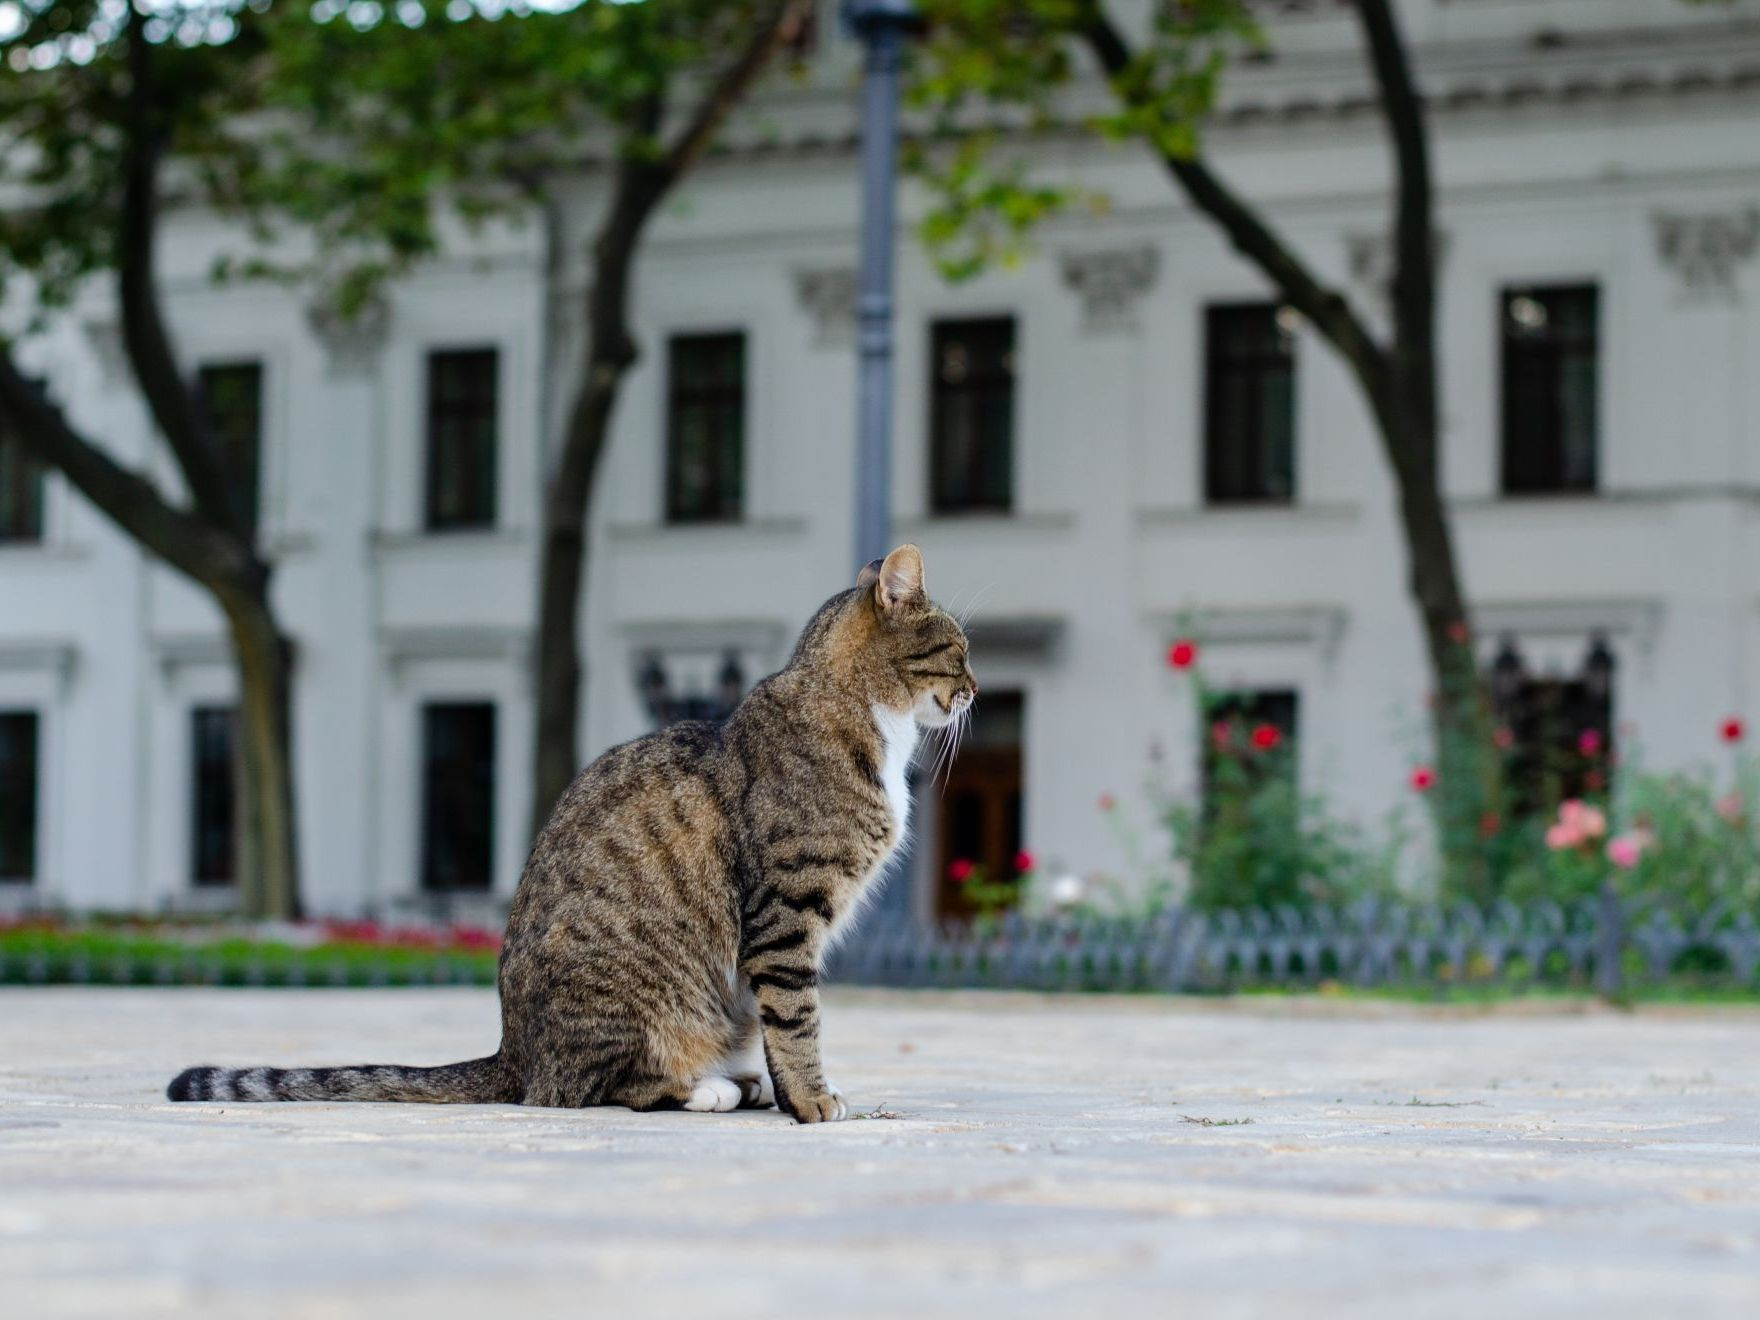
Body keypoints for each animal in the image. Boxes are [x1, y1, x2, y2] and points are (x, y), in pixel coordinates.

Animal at [168, 549, 978, 1126]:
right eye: (959, 649)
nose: (976, 688)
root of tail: (513, 1055)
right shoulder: (786, 913)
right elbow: (797, 1018)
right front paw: (810, 1102)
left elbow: (788, 1024)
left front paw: (790, 1096)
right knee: (587, 1086)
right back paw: (704, 1088)